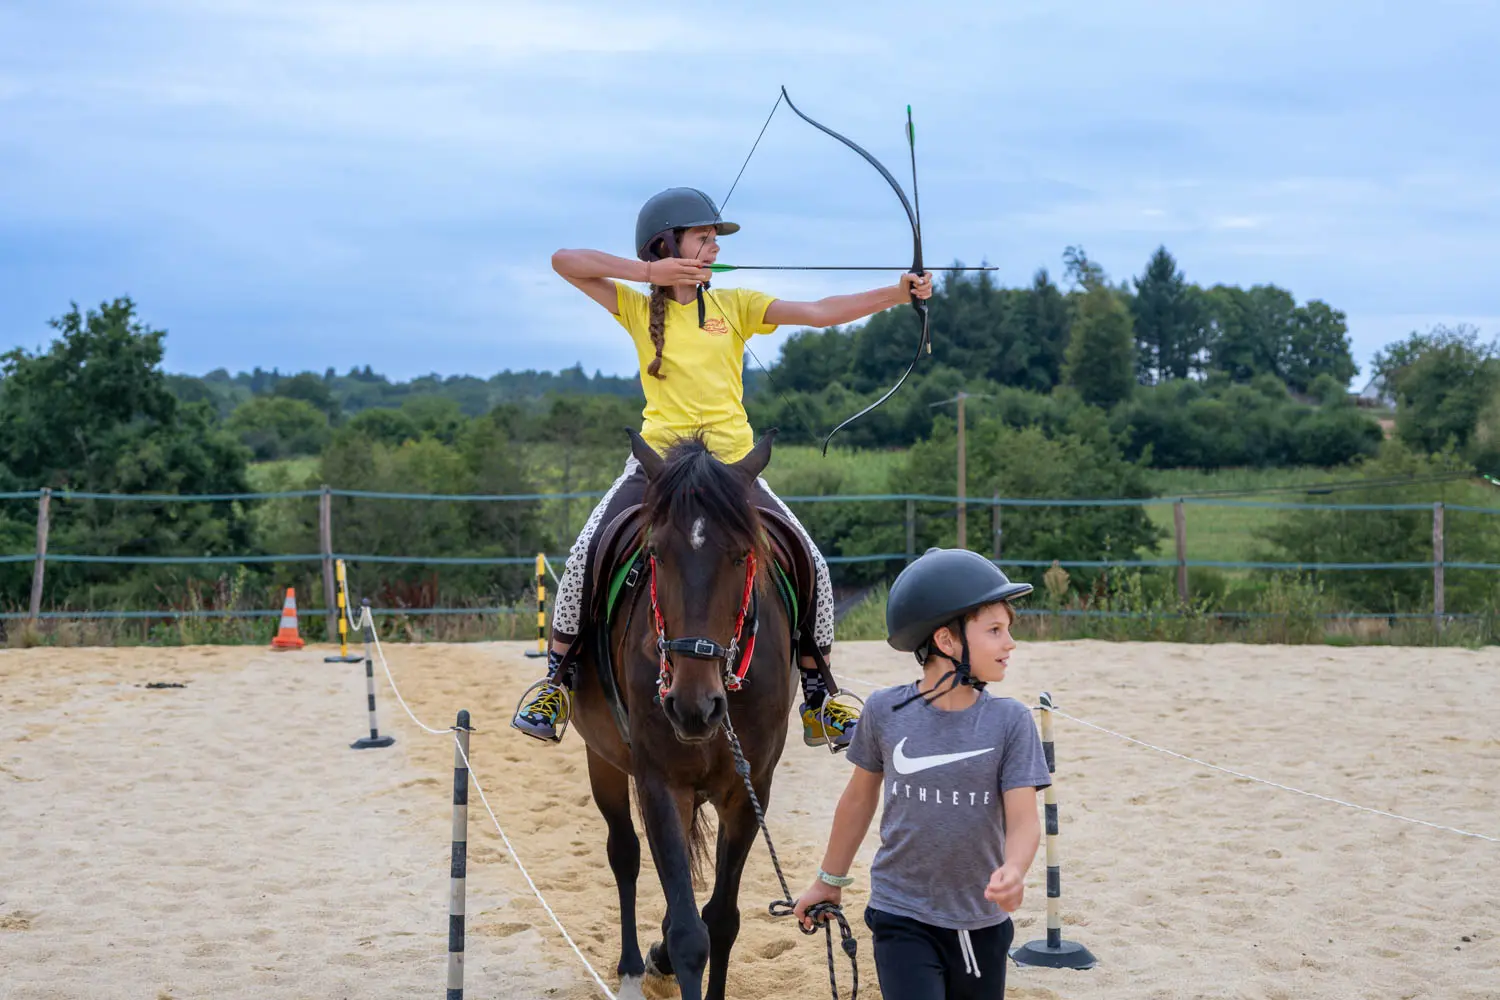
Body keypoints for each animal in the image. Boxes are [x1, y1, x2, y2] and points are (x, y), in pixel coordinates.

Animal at [568, 429, 797, 1000]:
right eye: (656, 553)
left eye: (741, 555)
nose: (693, 707)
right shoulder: (660, 783)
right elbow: (692, 934)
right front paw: (665, 952)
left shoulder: (748, 790)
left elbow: (721, 920)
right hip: (603, 762)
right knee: (624, 854)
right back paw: (633, 965)